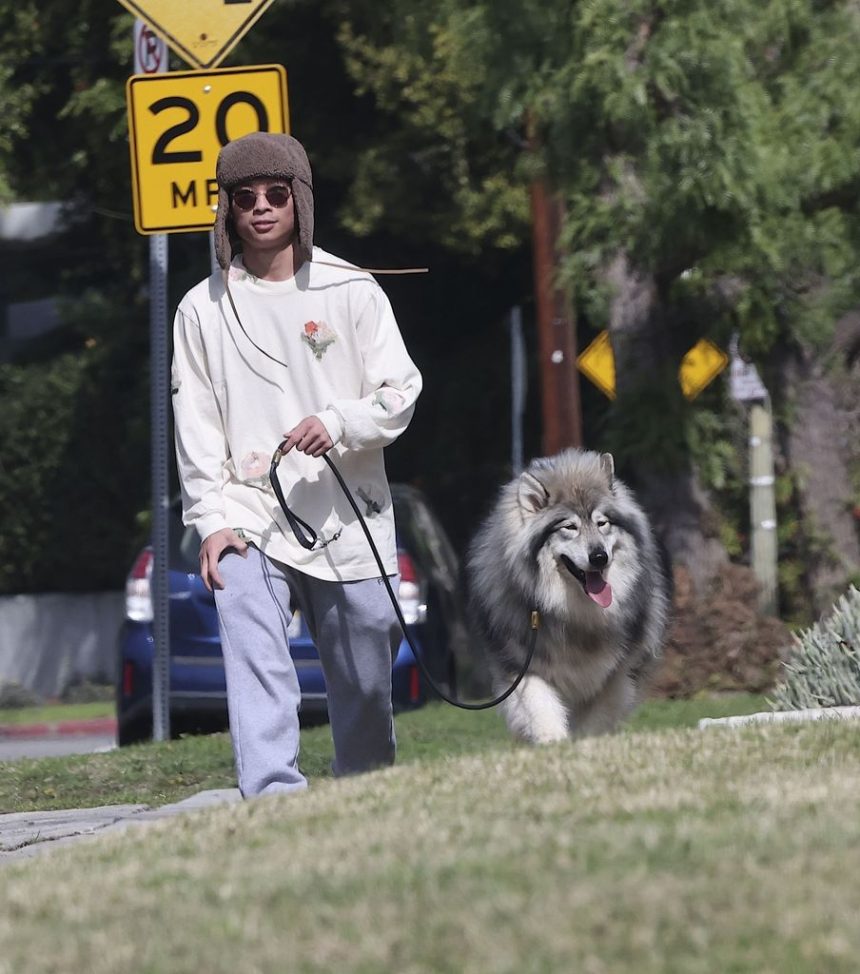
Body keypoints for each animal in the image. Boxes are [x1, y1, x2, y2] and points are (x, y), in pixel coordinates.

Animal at [466, 452, 668, 748]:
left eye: (602, 523)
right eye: (570, 527)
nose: (599, 557)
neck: (577, 615)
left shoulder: (617, 673)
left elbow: (597, 715)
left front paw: (584, 742)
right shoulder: (522, 664)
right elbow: (539, 704)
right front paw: (552, 740)